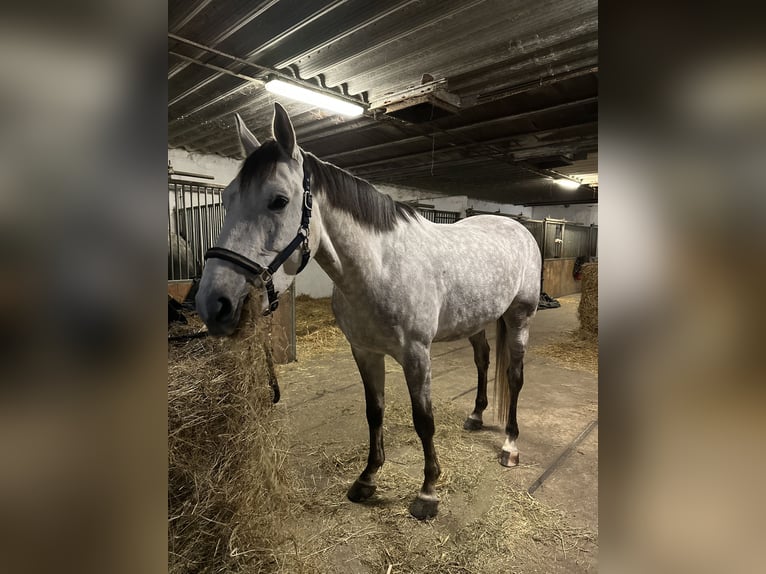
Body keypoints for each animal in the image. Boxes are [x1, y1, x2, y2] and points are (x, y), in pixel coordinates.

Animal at [195, 103, 544, 520]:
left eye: (278, 200)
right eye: (227, 199)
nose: (214, 304)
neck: (380, 265)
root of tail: (516, 226)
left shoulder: (416, 355)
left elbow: (423, 420)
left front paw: (428, 492)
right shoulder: (364, 351)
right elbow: (374, 412)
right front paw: (367, 478)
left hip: (520, 317)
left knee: (515, 375)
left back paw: (510, 446)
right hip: (477, 320)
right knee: (483, 360)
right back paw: (476, 416)